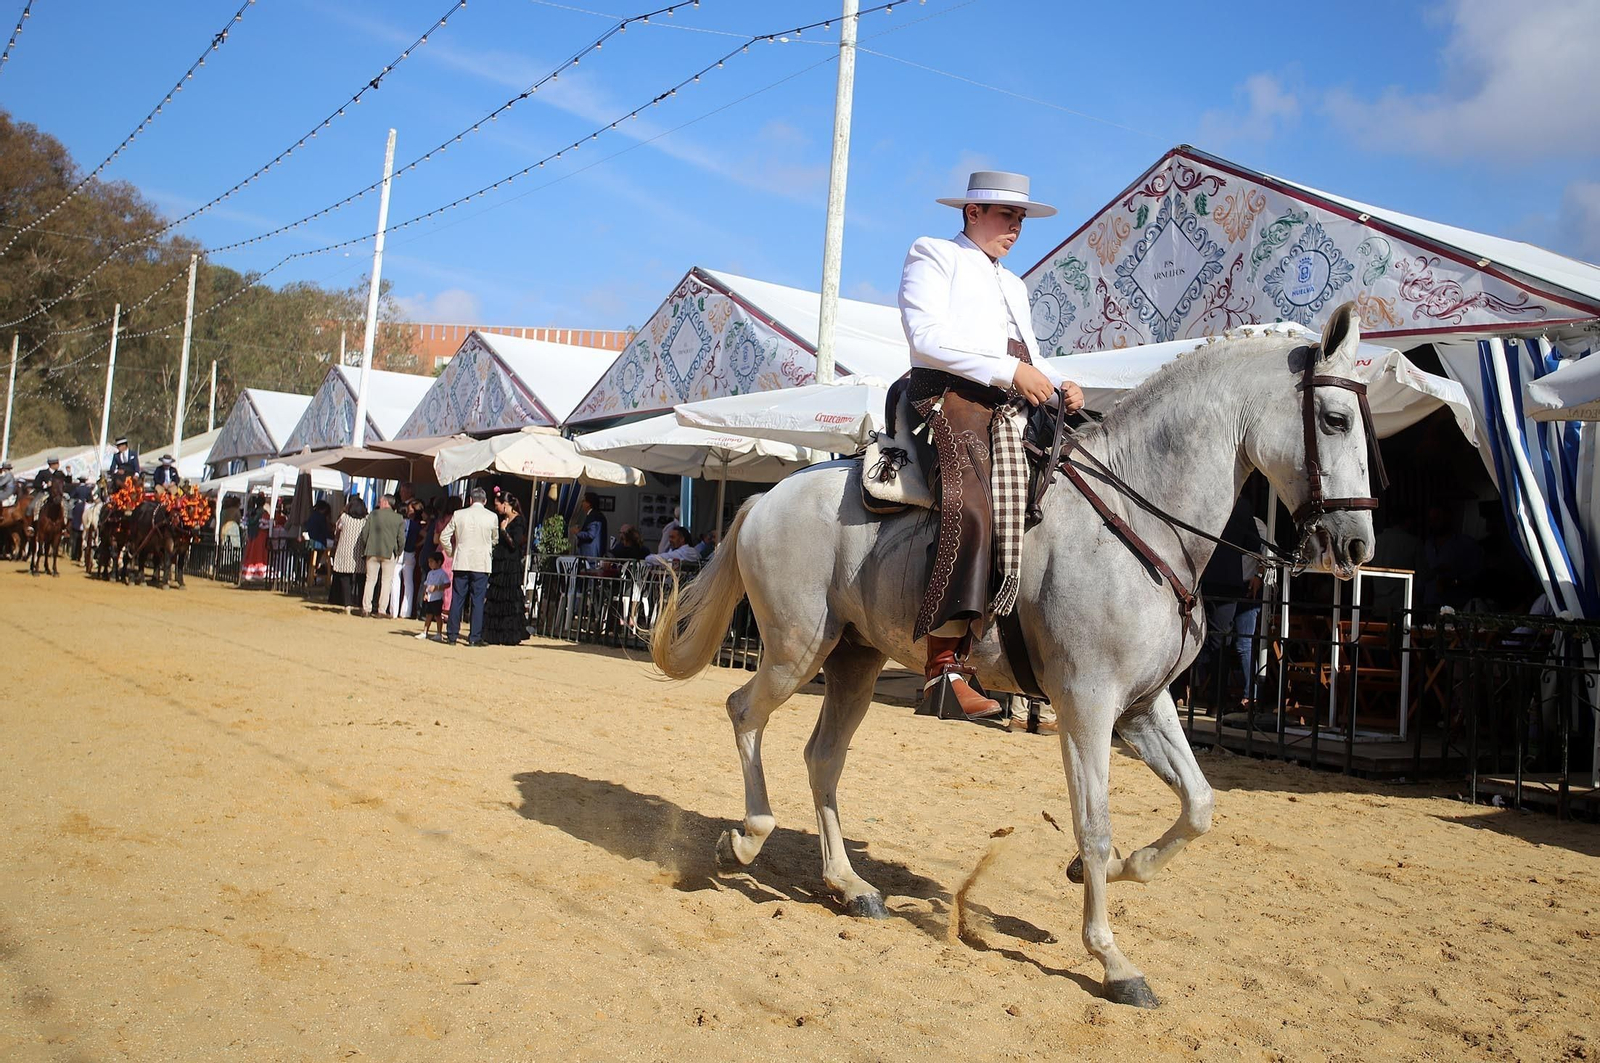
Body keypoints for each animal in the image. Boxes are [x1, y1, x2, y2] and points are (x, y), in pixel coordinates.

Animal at [651, 305, 1379, 1009]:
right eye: (1335, 418)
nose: (1358, 545)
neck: (1137, 520)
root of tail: (766, 498)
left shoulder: (1144, 705)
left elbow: (1199, 805)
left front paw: (1115, 871)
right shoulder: (1087, 705)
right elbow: (1094, 824)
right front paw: (1113, 960)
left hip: (854, 660)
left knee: (823, 757)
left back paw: (850, 885)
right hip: (796, 647)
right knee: (744, 711)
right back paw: (746, 837)